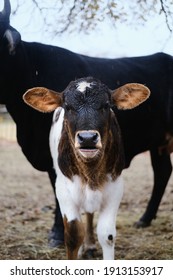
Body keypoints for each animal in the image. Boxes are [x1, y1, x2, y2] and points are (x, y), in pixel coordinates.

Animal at [23, 77, 150, 260]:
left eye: (106, 105)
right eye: (68, 107)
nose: (88, 138)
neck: (91, 171)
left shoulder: (115, 188)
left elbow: (107, 235)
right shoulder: (64, 190)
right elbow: (73, 234)